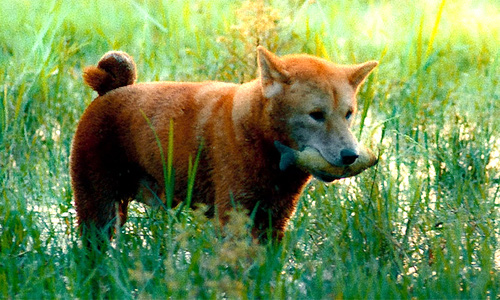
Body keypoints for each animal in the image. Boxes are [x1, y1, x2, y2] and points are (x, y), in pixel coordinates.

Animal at [69, 47, 376, 241]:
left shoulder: (275, 218)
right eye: (316, 115)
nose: (350, 155)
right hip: (97, 207)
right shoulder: (234, 214)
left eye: (348, 113)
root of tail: (111, 91)